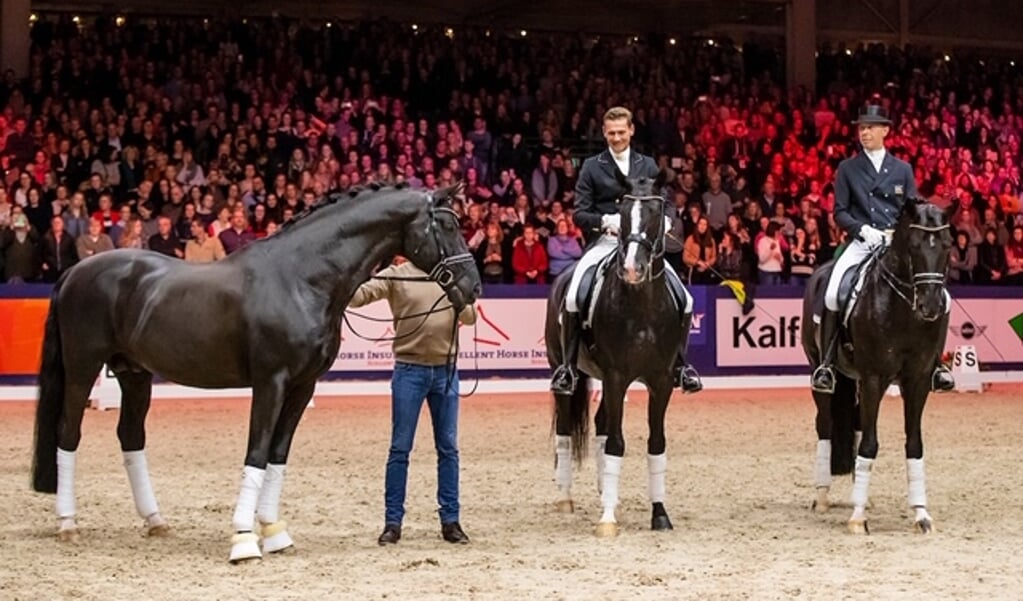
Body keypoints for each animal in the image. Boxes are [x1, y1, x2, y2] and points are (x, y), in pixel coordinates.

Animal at [29, 184, 478, 565]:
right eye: (448, 225)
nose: (472, 287)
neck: (302, 278)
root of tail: (74, 272)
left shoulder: (302, 386)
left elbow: (278, 455)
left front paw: (275, 533)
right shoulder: (270, 382)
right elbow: (257, 452)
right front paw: (244, 539)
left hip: (134, 373)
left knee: (130, 437)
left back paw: (155, 521)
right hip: (83, 369)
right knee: (68, 432)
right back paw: (67, 523)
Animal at [544, 172, 687, 536]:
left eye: (655, 212)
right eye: (621, 212)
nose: (633, 268)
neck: (643, 306)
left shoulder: (661, 381)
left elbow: (655, 443)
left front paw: (659, 513)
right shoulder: (616, 376)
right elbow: (616, 444)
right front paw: (607, 521)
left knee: (601, 425)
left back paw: (605, 494)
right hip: (568, 371)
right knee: (565, 431)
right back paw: (565, 499)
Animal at [802, 199, 953, 532]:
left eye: (948, 245)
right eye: (914, 245)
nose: (931, 306)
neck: (904, 310)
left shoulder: (917, 381)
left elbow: (914, 445)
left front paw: (921, 514)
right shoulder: (874, 378)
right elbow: (869, 445)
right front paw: (858, 519)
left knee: (857, 423)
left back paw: (862, 497)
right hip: (821, 370)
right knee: (826, 427)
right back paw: (822, 497)